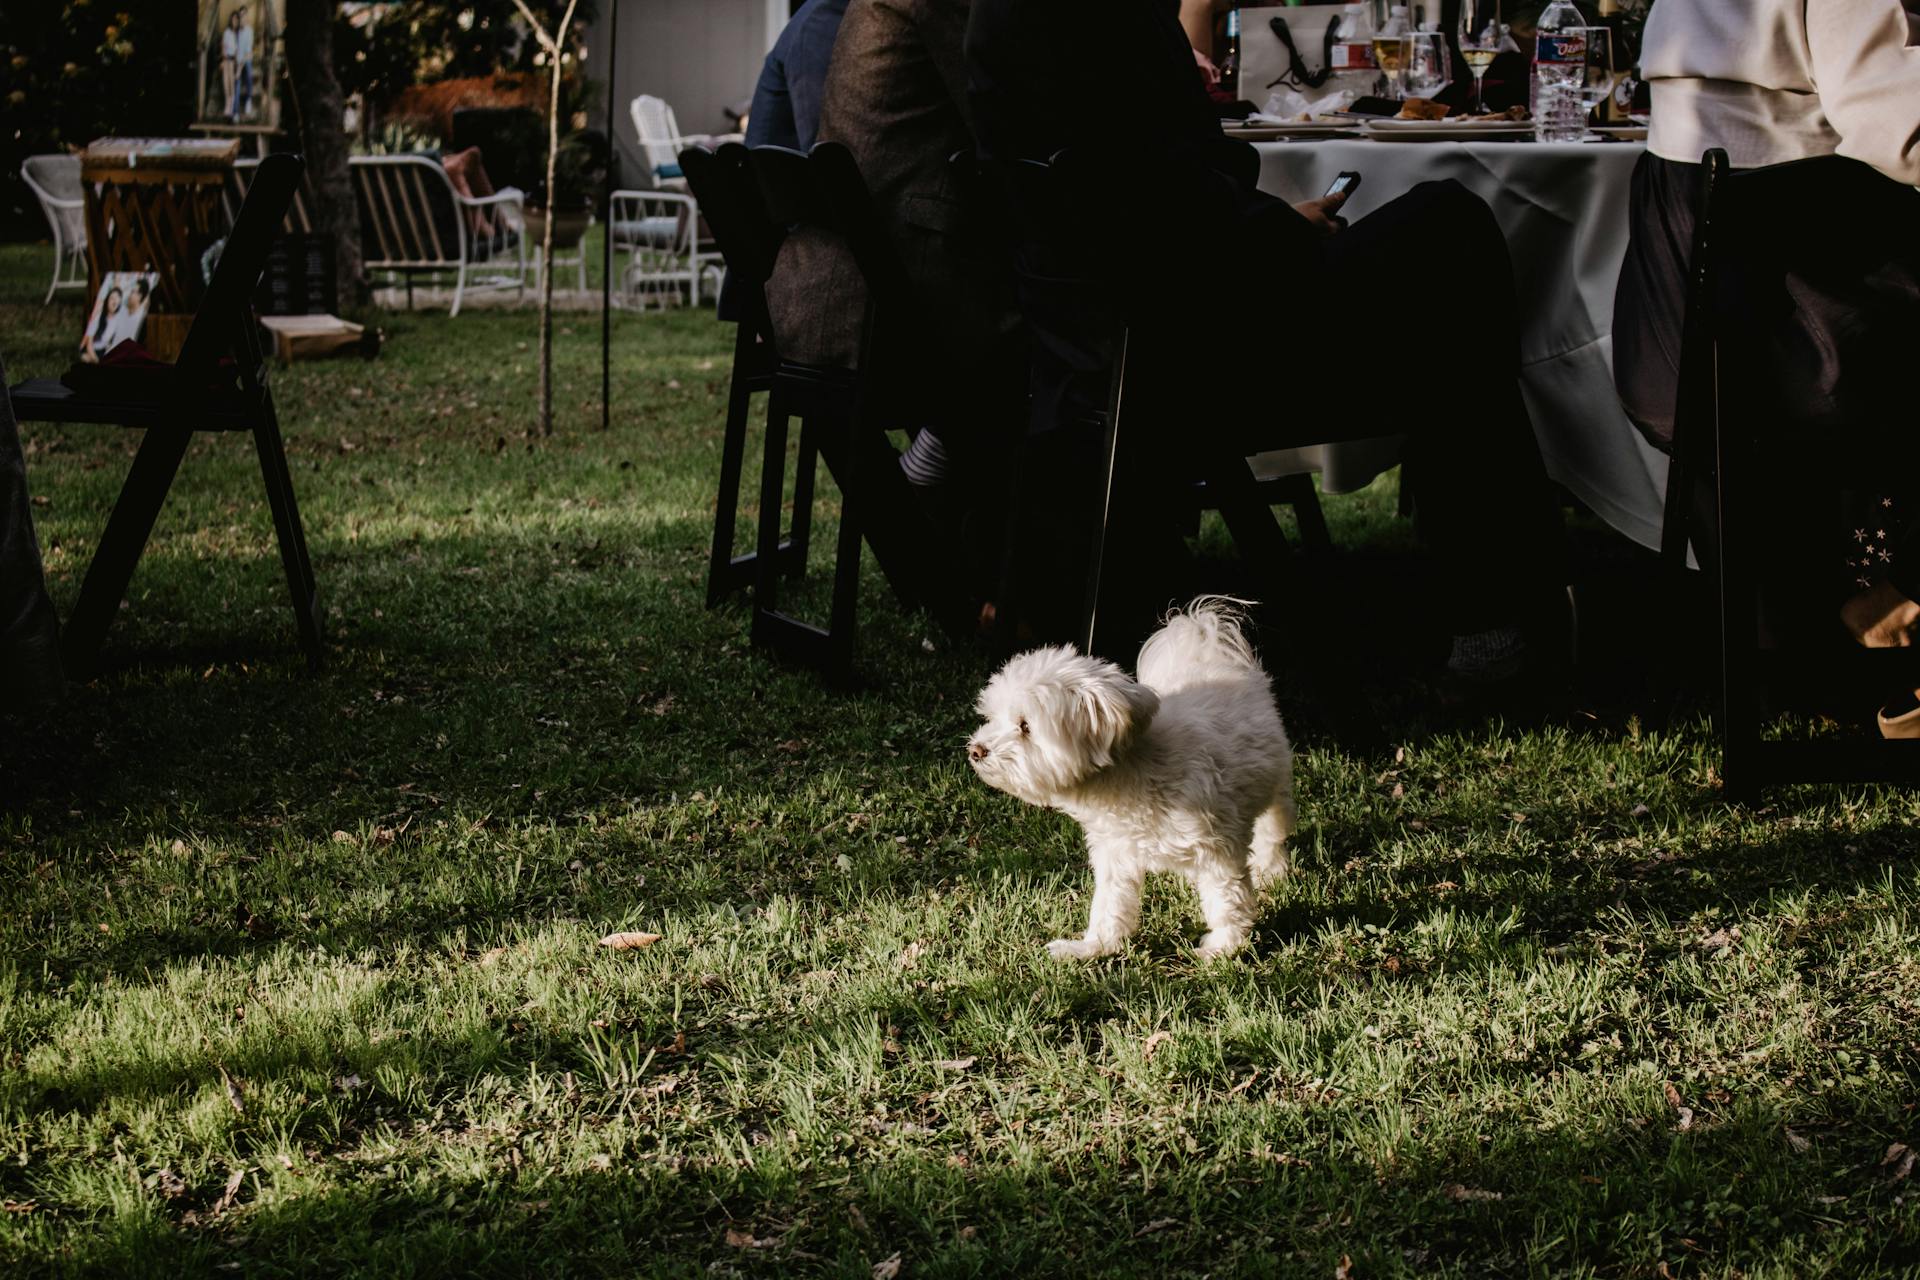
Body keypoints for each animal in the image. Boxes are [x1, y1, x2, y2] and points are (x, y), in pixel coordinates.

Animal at [967, 602, 1297, 959]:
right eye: (992, 717)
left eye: (1025, 726)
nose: (976, 750)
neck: (1135, 769)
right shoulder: (1115, 853)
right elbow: (1109, 906)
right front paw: (1093, 946)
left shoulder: (1217, 850)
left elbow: (1226, 901)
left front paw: (1223, 947)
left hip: (1276, 784)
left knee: (1272, 829)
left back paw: (1271, 869)